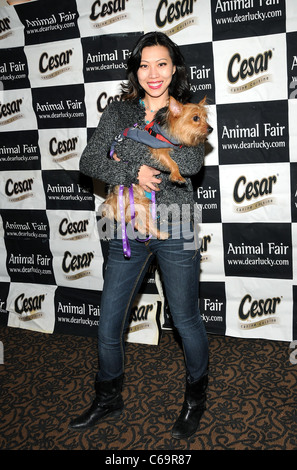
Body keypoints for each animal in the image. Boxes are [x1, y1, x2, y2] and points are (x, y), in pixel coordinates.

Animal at [103, 97, 212, 241]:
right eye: (195, 118)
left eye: (205, 117)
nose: (211, 129)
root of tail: (112, 196)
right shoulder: (158, 150)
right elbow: (172, 163)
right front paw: (177, 176)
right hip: (140, 202)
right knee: (143, 223)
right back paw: (162, 234)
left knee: (137, 223)